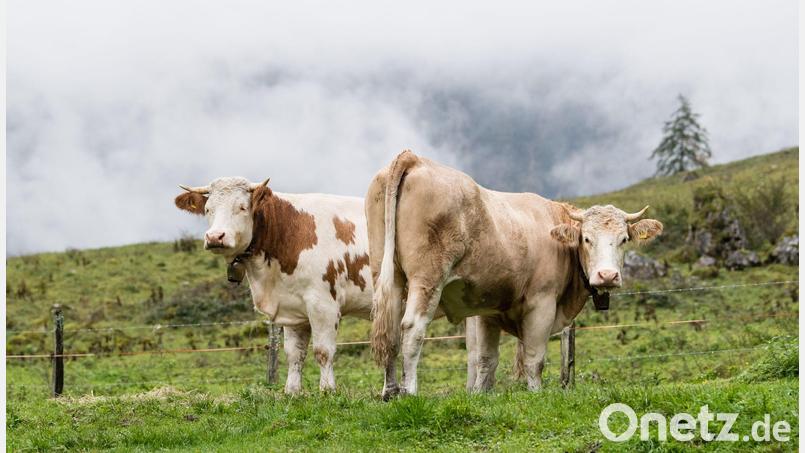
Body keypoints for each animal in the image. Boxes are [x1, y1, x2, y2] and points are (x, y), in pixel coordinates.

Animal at [175, 177, 373, 393]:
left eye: (242, 207)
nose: (214, 237)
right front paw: (292, 391)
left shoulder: (323, 304)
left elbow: (323, 351)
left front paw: (328, 391)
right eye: (208, 209)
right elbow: (294, 354)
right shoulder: (294, 308)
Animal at [367, 150, 663, 399]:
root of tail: (414, 158)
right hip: (427, 278)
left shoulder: (486, 310)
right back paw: (409, 392)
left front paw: (480, 396)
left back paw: (390, 392)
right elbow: (534, 358)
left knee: (390, 330)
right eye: (586, 239)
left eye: (624, 239)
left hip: (387, 275)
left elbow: (486, 359)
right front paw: (536, 394)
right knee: (412, 328)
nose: (607, 275)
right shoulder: (542, 303)